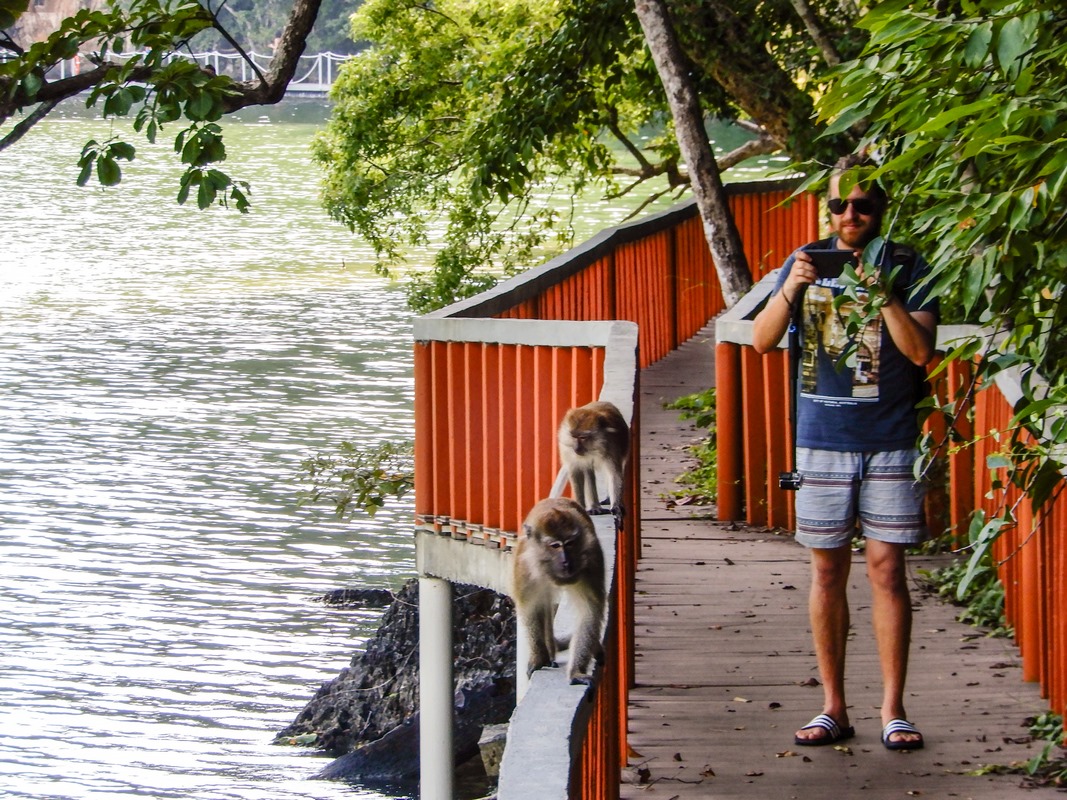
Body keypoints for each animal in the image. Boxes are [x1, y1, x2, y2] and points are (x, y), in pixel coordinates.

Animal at [510, 499, 606, 686]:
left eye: (569, 544)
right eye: (555, 546)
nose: (566, 561)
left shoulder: (591, 558)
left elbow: (589, 610)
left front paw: (576, 671)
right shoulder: (525, 566)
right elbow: (530, 607)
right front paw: (539, 657)